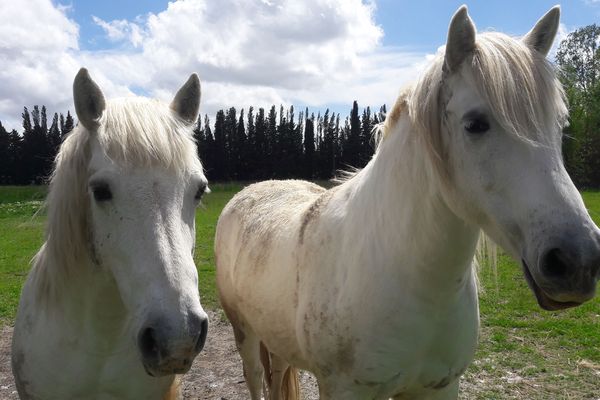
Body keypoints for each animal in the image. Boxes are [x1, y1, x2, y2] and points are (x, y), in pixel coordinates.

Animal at [214, 7, 600, 400]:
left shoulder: (439, 386)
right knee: (255, 377)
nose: (578, 262)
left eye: (561, 125)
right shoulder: (345, 388)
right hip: (244, 331)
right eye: (475, 124)